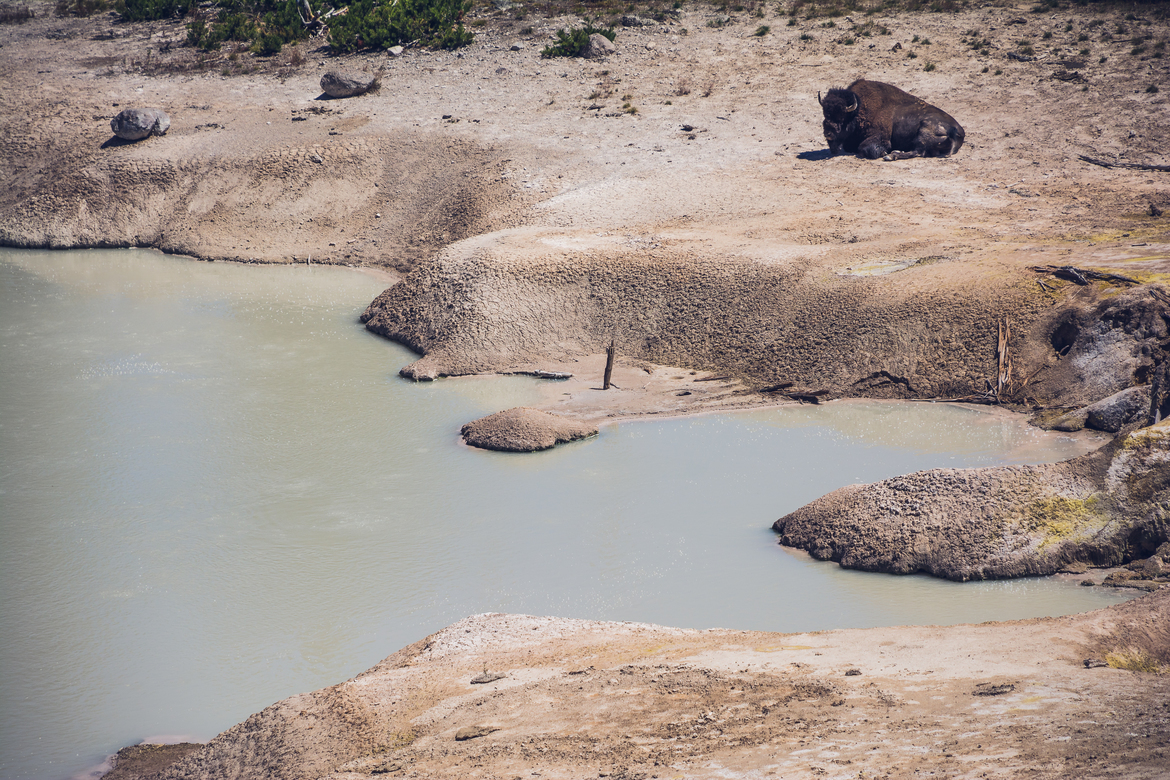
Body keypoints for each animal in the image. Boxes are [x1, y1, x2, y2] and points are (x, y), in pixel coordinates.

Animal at [818, 79, 965, 161]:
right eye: (825, 114)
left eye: (841, 117)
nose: (828, 133)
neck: (858, 111)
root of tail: (957, 130)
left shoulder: (881, 137)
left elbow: (865, 148)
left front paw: (884, 152)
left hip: (924, 133)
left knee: (918, 151)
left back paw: (891, 155)